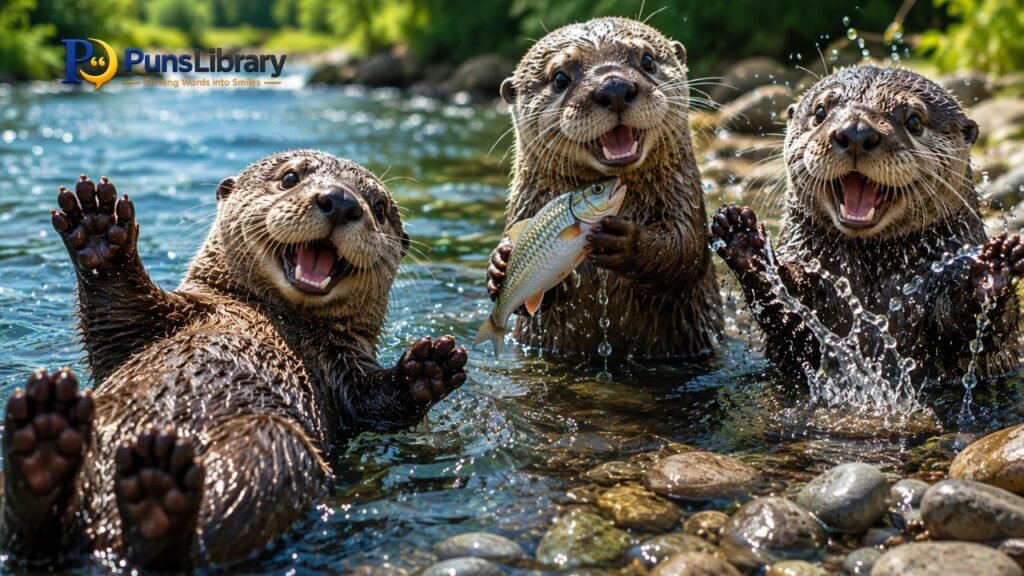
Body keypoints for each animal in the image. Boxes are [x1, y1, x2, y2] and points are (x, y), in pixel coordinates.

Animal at [0, 150, 468, 569]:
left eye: (379, 206)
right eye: (290, 177)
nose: (340, 200)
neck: (269, 317)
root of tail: (98, 530)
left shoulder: (344, 371)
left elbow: (377, 404)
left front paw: (429, 366)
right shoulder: (162, 320)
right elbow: (116, 317)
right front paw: (98, 229)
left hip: (270, 447)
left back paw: (151, 489)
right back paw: (47, 435)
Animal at [485, 16, 722, 360]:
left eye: (647, 60)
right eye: (560, 77)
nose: (615, 88)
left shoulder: (685, 202)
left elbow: (685, 251)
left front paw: (627, 243)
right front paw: (499, 266)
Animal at [712, 66, 1022, 379]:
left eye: (913, 120)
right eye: (820, 111)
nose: (856, 131)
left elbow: (969, 330)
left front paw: (992, 271)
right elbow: (789, 318)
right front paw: (745, 241)